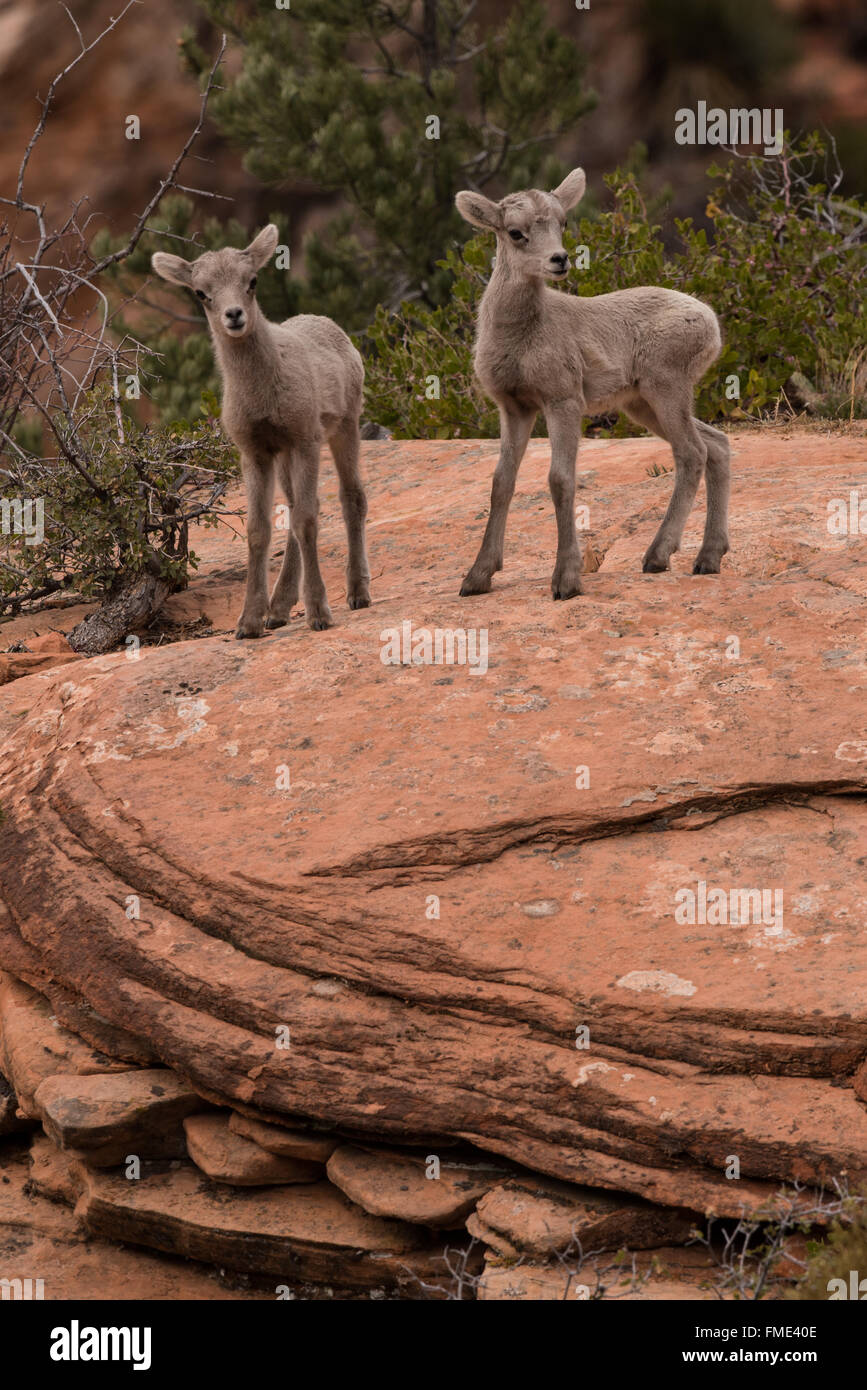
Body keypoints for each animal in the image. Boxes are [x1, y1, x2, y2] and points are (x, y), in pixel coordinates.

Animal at [152, 226, 369, 636]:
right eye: (201, 292)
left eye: (251, 281)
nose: (234, 315)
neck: (262, 393)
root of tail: (328, 323)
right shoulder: (255, 451)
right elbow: (259, 530)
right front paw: (249, 622)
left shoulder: (305, 439)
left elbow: (308, 520)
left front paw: (320, 614)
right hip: (284, 457)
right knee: (295, 511)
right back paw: (279, 609)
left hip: (345, 426)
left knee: (351, 500)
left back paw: (358, 593)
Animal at [452, 165, 733, 600]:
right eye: (515, 232)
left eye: (563, 223)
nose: (560, 259)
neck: (522, 336)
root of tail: (710, 322)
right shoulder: (515, 407)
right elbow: (501, 482)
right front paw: (476, 578)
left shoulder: (563, 400)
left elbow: (560, 480)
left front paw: (566, 581)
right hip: (641, 404)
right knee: (717, 444)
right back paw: (707, 558)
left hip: (666, 389)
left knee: (692, 453)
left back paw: (658, 556)